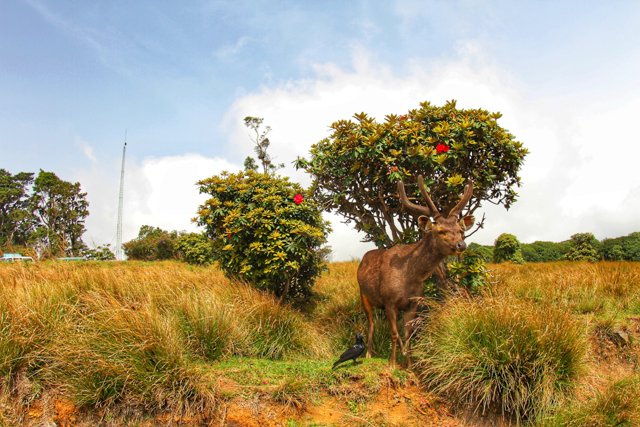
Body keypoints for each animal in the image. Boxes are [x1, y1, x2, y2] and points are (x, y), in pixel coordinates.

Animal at [358, 176, 472, 366]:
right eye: (440, 231)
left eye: (460, 230)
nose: (460, 245)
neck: (411, 276)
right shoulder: (389, 301)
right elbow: (394, 334)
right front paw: (392, 364)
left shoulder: (414, 303)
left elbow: (408, 336)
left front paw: (410, 365)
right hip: (363, 295)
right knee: (371, 324)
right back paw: (368, 354)